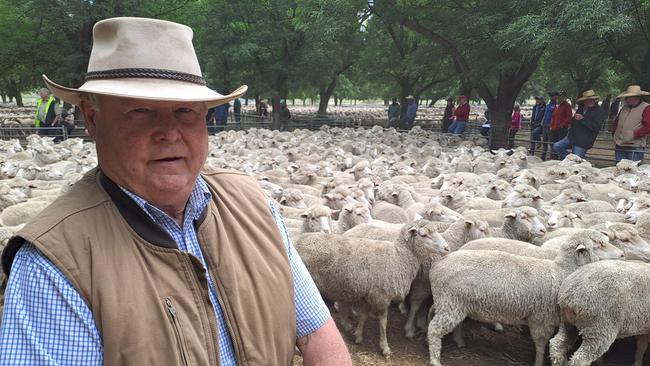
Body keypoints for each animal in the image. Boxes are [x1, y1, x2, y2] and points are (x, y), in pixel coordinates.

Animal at [292, 219, 448, 356]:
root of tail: (295, 241)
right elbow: (383, 323)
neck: (399, 257)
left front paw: (358, 336)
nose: (447, 248)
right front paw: (385, 348)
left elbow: (364, 315)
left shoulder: (368, 295)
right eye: (424, 235)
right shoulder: (382, 297)